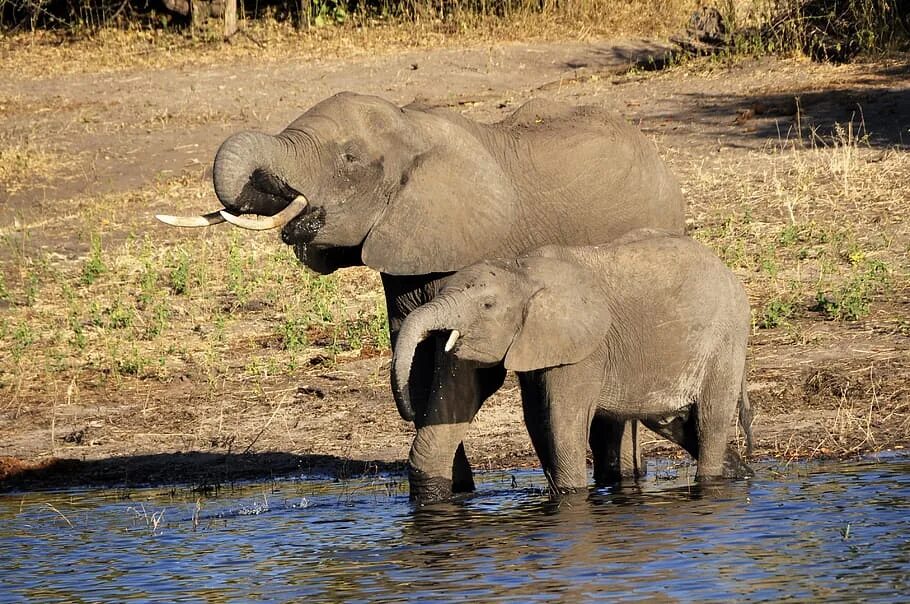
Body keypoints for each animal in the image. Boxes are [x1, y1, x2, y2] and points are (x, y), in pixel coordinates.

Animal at [159, 91, 684, 504]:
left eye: (350, 159)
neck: (412, 127)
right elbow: (416, 358)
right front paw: (454, 491)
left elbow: (462, 371)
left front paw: (433, 494)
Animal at [396, 231, 760, 496]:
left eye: (487, 305)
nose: (409, 411)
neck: (522, 271)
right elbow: (537, 418)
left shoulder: (586, 349)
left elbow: (563, 419)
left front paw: (571, 497)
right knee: (672, 420)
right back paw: (741, 473)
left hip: (725, 338)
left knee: (711, 418)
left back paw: (713, 483)